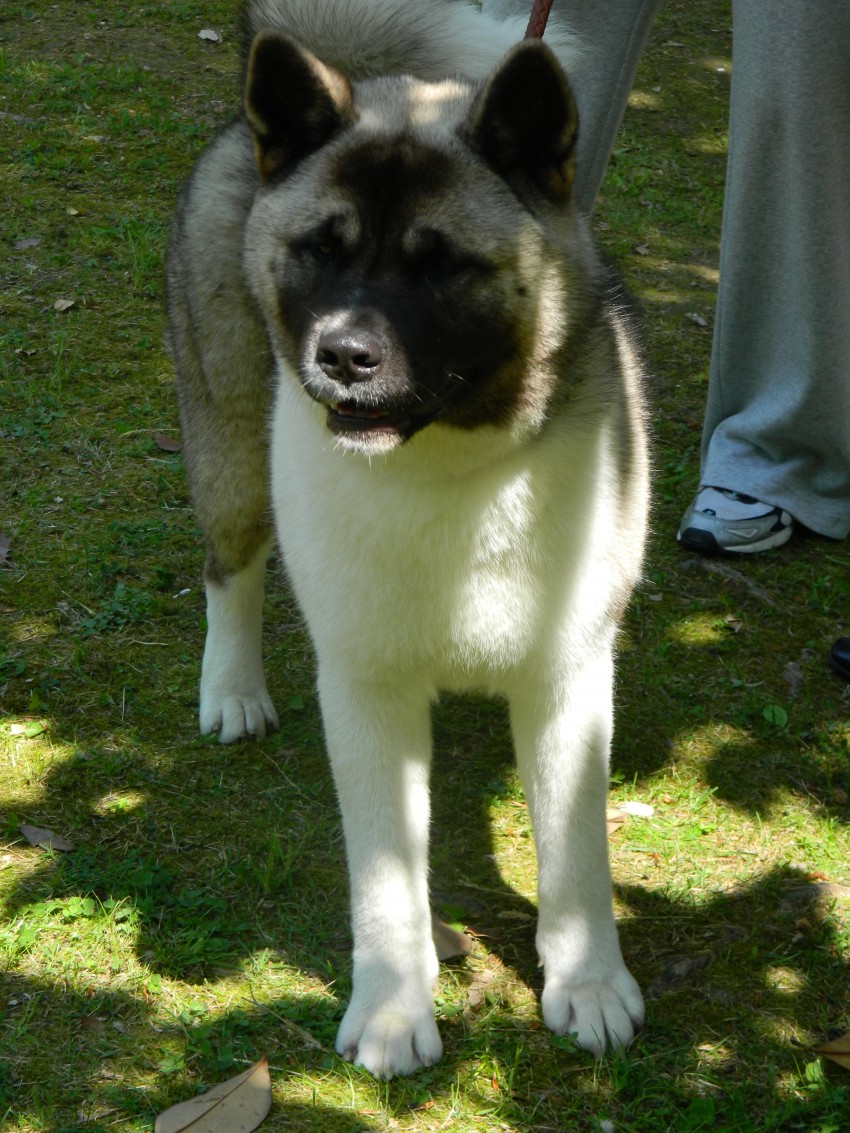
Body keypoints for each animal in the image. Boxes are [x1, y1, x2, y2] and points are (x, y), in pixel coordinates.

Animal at [167, 0, 650, 1079]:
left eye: (441, 263)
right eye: (320, 247)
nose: (342, 354)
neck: (444, 468)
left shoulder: (570, 679)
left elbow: (575, 852)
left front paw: (589, 981)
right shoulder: (366, 689)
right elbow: (386, 876)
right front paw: (392, 1008)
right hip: (230, 439)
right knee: (231, 563)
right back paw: (232, 685)